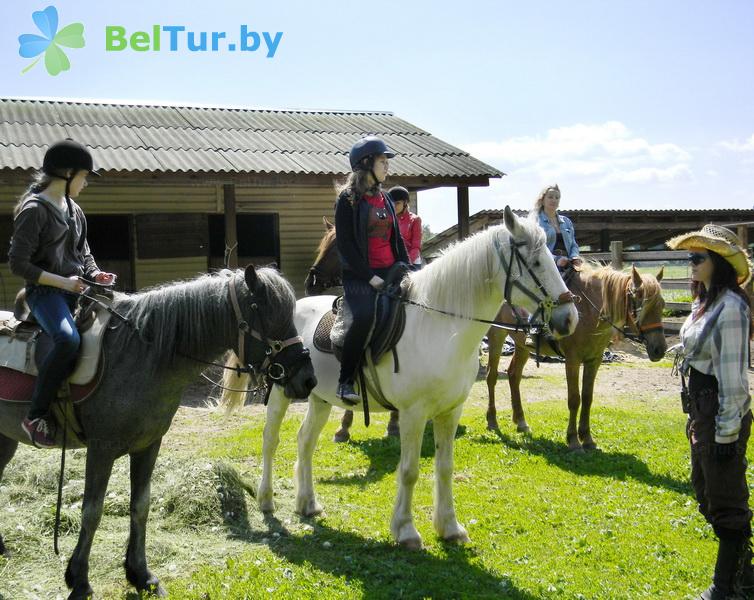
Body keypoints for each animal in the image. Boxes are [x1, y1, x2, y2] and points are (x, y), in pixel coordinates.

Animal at [0, 268, 314, 600]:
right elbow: (92, 512)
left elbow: (140, 507)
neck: (139, 354)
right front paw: (80, 580)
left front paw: (141, 574)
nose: (308, 379)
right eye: (262, 311)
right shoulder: (101, 449)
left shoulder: (148, 446)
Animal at [482, 264, 664, 450]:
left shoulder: (594, 360)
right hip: (497, 335)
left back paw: (521, 421)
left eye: (662, 305)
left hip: (522, 345)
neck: (590, 312)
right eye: (642, 306)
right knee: (491, 376)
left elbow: (587, 397)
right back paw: (492, 420)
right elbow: (574, 399)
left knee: (514, 375)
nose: (660, 350)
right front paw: (573, 440)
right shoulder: (572, 360)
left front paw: (587, 438)